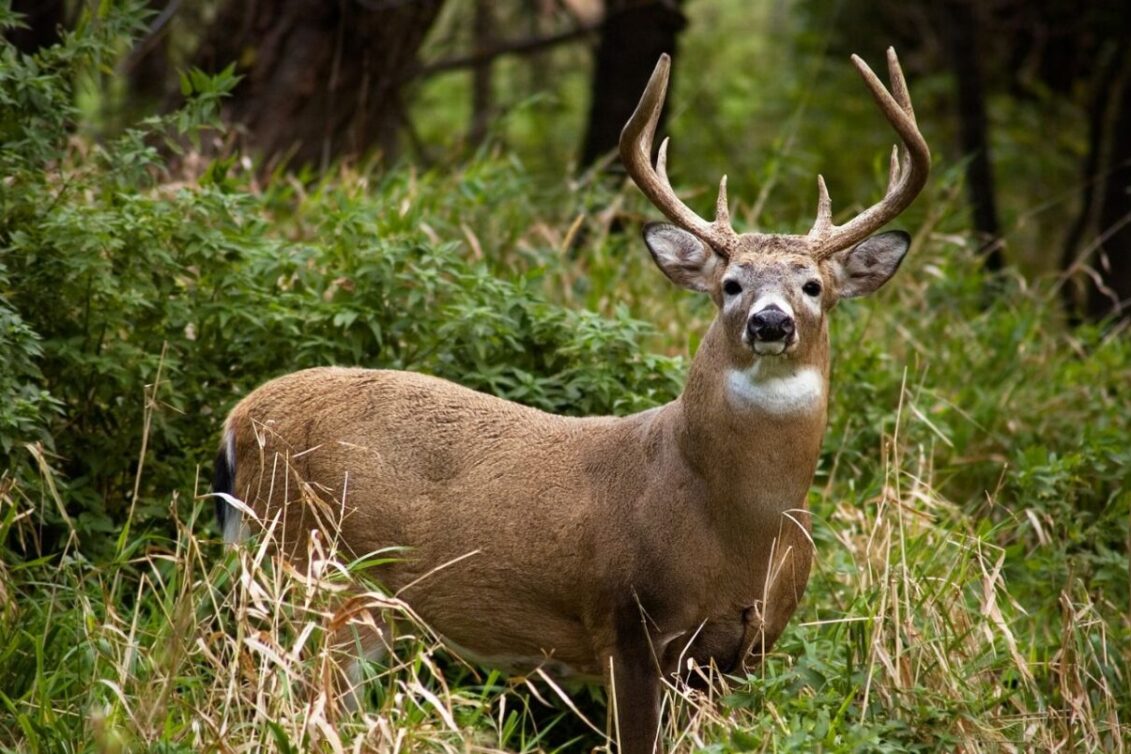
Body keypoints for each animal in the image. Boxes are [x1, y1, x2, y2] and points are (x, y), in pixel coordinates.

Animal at [212, 48, 927, 754]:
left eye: (813, 285)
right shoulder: (628, 622)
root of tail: (237, 420)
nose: (770, 322)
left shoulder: (745, 650)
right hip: (310, 565)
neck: (738, 528)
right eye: (729, 283)